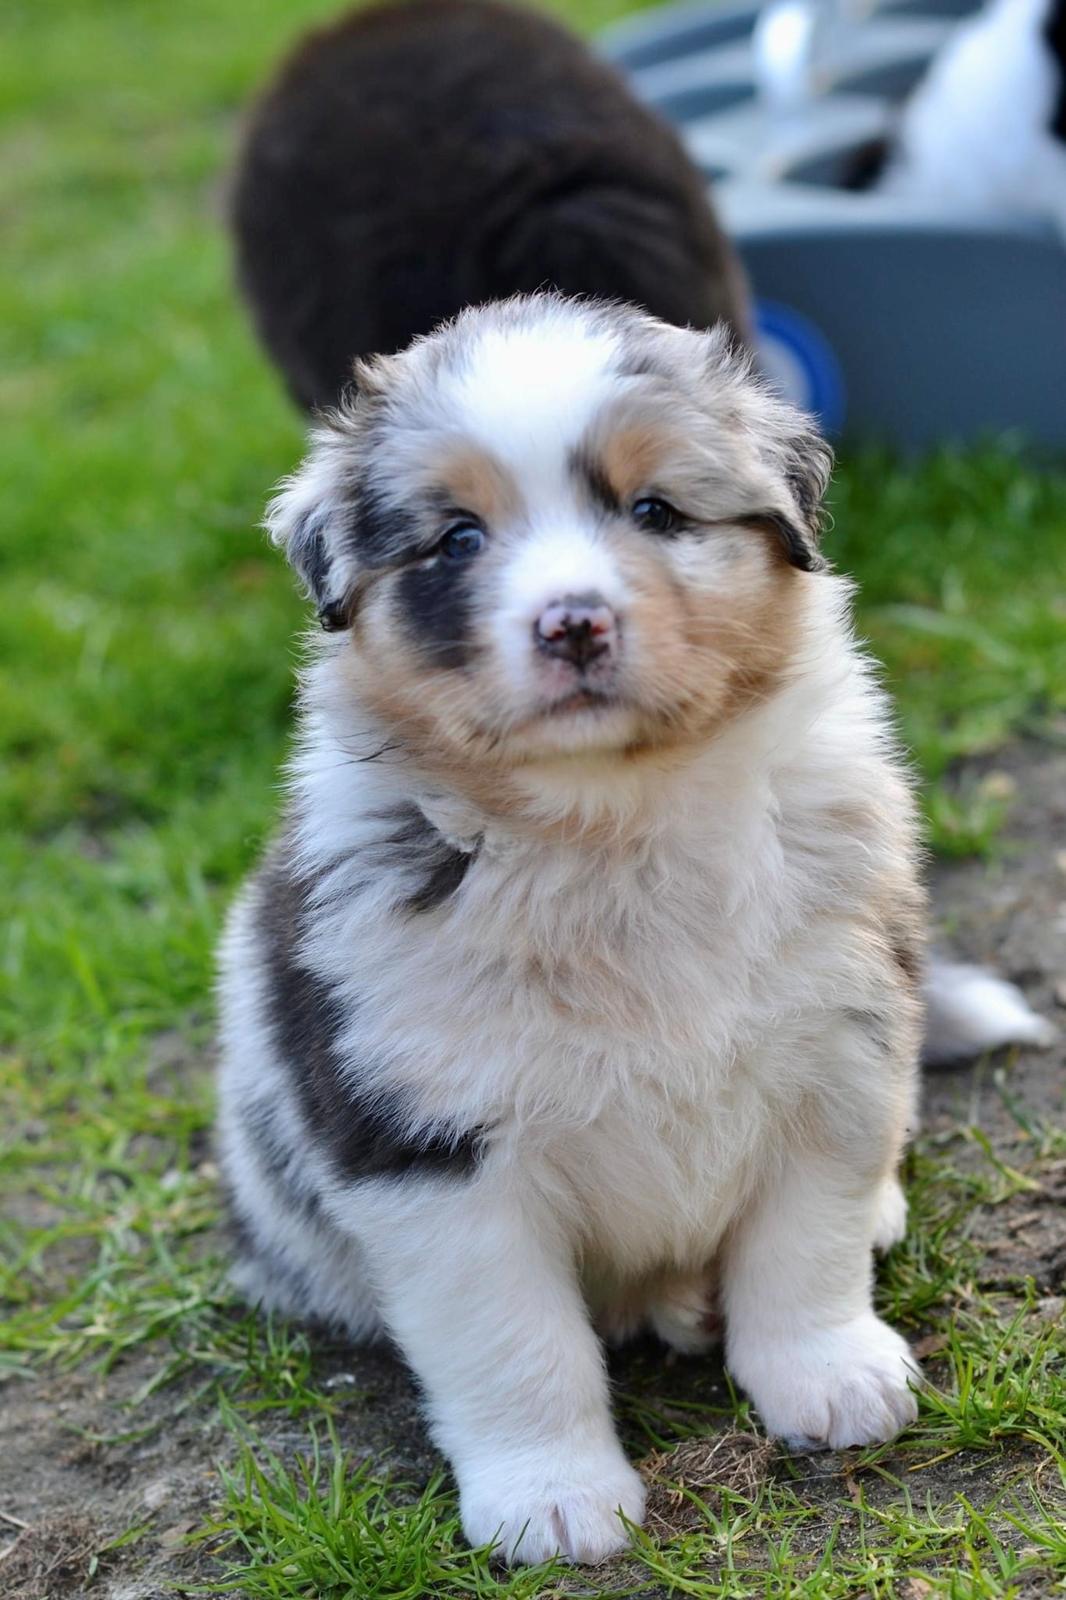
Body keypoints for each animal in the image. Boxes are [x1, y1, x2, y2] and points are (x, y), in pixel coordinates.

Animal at [217, 297, 953, 1561]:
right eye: (456, 541)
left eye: (653, 510)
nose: (573, 624)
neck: (615, 822)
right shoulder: (428, 1148)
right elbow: (516, 1340)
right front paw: (550, 1499)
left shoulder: (839, 1036)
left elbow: (803, 1243)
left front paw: (830, 1376)